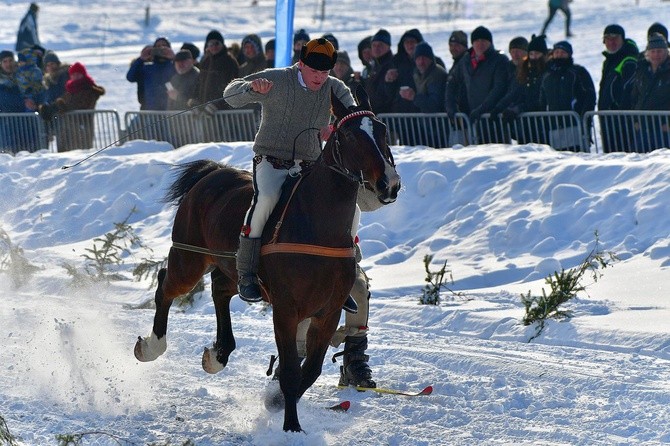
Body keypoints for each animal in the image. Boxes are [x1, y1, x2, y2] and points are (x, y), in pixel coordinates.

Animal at [134, 84, 402, 432]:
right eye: (350, 135)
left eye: (382, 130)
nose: (389, 184)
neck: (316, 225)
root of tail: (213, 173)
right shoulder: (286, 310)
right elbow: (290, 372)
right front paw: (291, 426)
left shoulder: (328, 313)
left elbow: (310, 370)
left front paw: (276, 402)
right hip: (189, 257)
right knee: (166, 285)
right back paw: (152, 346)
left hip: (231, 267)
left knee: (220, 289)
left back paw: (219, 354)